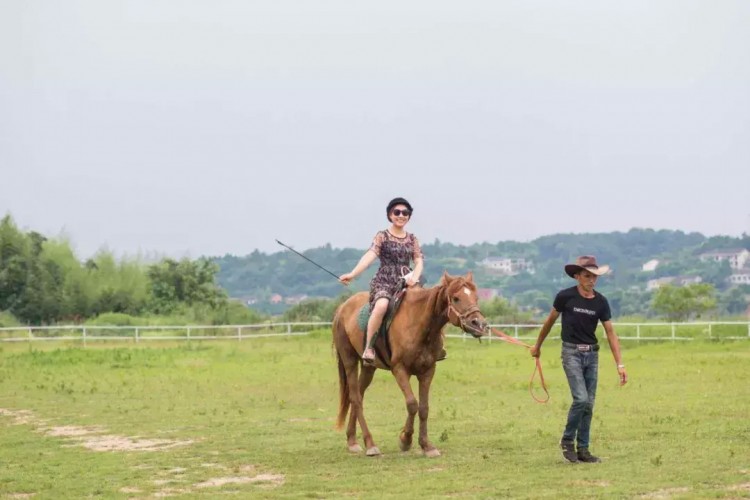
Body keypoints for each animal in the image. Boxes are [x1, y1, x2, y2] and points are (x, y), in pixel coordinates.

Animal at [334, 272, 488, 458]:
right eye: (456, 298)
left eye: (476, 297)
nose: (479, 324)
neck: (419, 325)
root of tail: (343, 307)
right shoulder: (399, 369)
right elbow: (412, 404)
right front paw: (405, 439)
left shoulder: (428, 371)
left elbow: (423, 408)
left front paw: (426, 445)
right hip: (349, 361)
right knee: (355, 398)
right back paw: (370, 444)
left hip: (368, 367)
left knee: (359, 395)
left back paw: (352, 440)